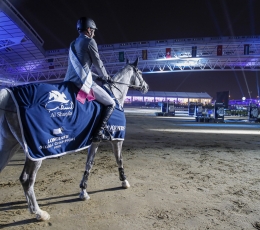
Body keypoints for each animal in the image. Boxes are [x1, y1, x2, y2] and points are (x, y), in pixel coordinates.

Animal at [0, 58, 148, 221]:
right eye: (140, 72)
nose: (146, 87)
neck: (114, 94)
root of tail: (9, 96)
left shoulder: (94, 141)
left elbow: (89, 163)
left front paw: (83, 191)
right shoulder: (117, 138)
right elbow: (119, 160)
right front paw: (124, 181)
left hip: (9, 144)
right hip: (36, 151)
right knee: (27, 179)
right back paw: (39, 213)